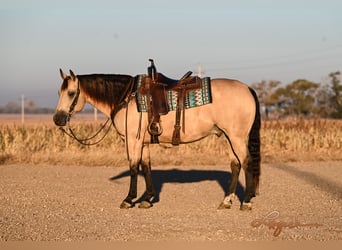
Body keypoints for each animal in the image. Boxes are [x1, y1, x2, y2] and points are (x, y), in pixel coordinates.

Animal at [53, 65, 260, 210]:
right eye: (59, 93)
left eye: (71, 93)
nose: (57, 119)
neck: (126, 98)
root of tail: (247, 88)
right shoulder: (143, 142)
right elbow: (146, 166)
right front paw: (147, 199)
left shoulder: (133, 140)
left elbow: (134, 167)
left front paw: (129, 199)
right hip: (229, 137)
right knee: (235, 165)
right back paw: (226, 201)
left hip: (237, 137)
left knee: (247, 162)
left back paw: (246, 202)